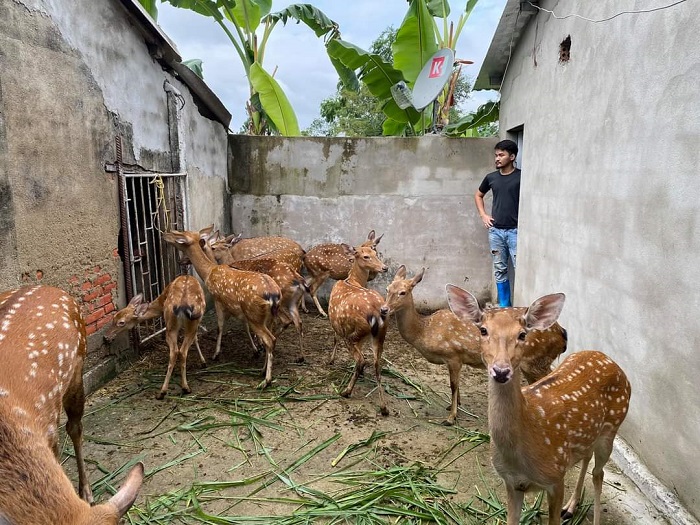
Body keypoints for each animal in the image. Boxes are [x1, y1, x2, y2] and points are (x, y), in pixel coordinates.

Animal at [163, 223, 282, 386]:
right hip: (268, 316)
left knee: (270, 340)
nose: (164, 234)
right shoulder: (236, 308)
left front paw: (216, 354)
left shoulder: (218, 299)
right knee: (272, 339)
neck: (208, 272)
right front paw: (255, 350)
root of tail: (273, 295)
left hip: (254, 314)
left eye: (179, 235)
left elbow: (220, 326)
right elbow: (243, 327)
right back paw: (262, 370)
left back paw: (266, 380)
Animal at [326, 244, 388, 416]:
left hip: (354, 334)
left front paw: (331, 360)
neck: (352, 280)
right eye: (366, 256)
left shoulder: (334, 321)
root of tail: (375, 312)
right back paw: (384, 408)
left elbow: (334, 338)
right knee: (377, 364)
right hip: (380, 335)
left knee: (361, 359)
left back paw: (346, 391)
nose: (385, 267)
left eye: (375, 253)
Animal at [380, 266, 568, 426]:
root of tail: (563, 335)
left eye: (403, 292)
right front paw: (454, 405)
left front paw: (451, 417)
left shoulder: (453, 355)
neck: (425, 331)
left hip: (536, 361)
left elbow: (453, 385)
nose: (384, 309)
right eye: (388, 288)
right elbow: (456, 386)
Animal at [446, 284, 632, 524]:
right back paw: (570, 507)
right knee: (587, 457)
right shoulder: (512, 483)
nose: (501, 371)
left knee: (598, 474)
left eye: (522, 334)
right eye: (483, 330)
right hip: (590, 434)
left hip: (612, 427)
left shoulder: (556, 477)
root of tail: (613, 363)